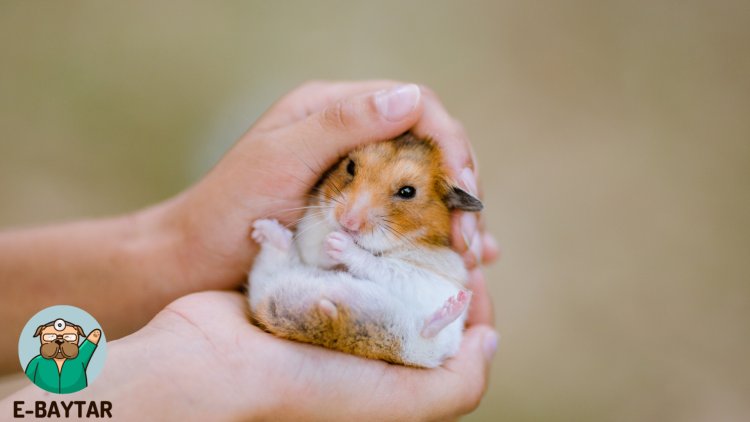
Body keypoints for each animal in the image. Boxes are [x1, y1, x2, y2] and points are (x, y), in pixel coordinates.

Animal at [247, 134, 482, 368]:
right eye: (350, 166)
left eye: (408, 192)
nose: (347, 223)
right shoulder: (309, 233)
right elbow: (315, 251)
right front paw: (330, 242)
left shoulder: (424, 275)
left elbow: (380, 265)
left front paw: (337, 242)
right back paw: (265, 231)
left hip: (428, 344)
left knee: (428, 333)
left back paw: (456, 304)